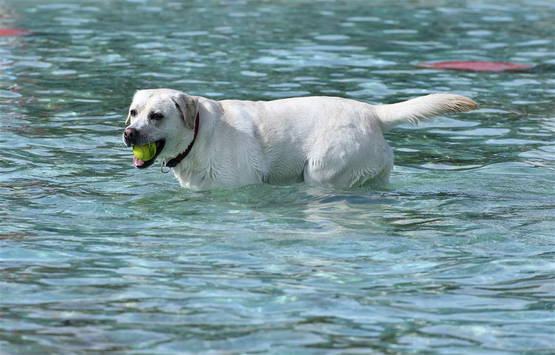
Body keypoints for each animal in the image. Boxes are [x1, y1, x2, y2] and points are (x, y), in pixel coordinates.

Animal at [121, 89, 478, 191]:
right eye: (133, 112)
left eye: (157, 116)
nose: (129, 133)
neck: (198, 134)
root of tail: (373, 112)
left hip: (323, 169)